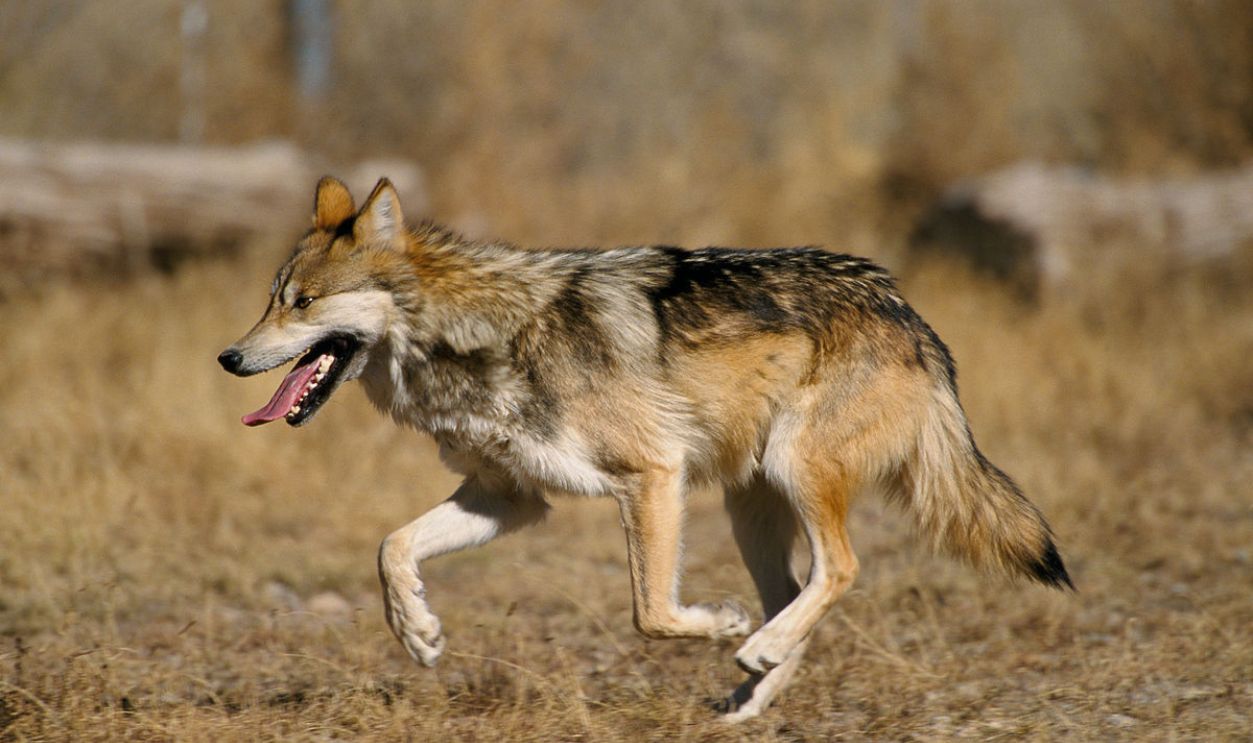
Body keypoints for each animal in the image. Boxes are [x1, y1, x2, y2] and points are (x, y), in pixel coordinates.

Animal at [218, 176, 1072, 721]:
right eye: (270, 299)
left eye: (303, 303)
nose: (228, 357)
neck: (475, 335)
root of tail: (906, 311)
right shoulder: (509, 498)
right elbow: (391, 547)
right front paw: (418, 632)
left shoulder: (651, 476)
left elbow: (651, 613)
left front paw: (718, 623)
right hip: (749, 507)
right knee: (797, 592)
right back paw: (750, 691)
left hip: (791, 473)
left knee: (839, 570)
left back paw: (751, 646)